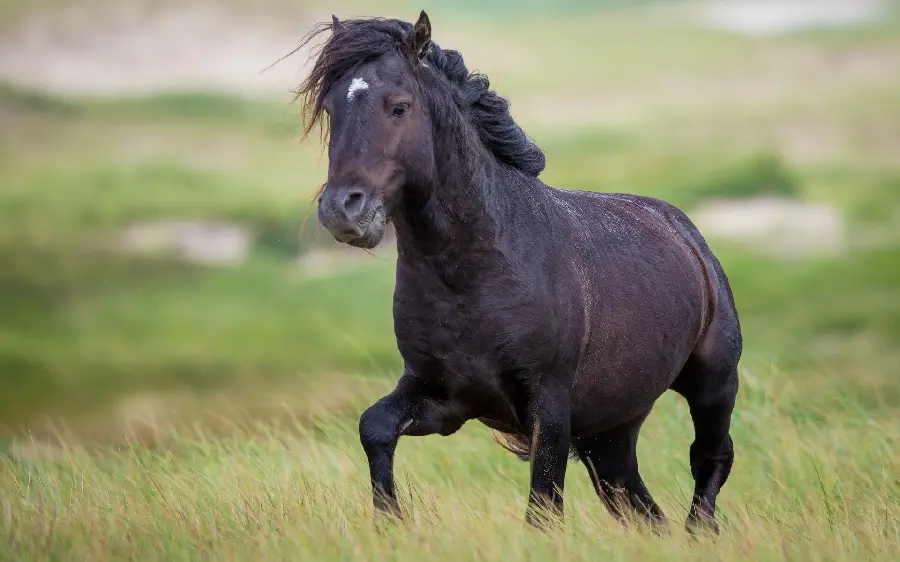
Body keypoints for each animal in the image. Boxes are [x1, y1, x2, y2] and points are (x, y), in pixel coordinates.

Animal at [298, 10, 740, 532]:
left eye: (399, 107)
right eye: (331, 109)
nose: (342, 210)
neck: (475, 273)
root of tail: (688, 236)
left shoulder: (548, 406)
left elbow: (543, 506)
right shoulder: (443, 398)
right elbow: (375, 427)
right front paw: (391, 521)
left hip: (713, 383)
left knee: (710, 459)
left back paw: (701, 531)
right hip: (612, 429)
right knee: (635, 498)